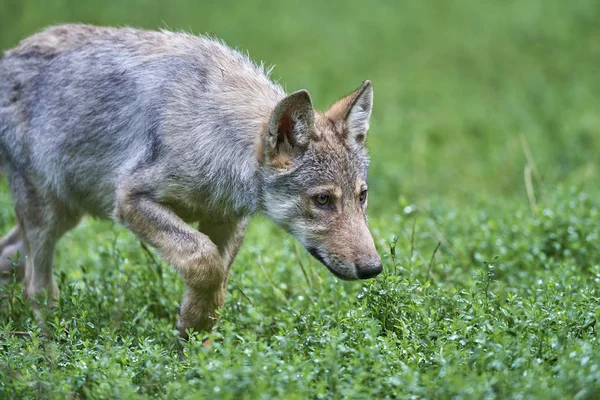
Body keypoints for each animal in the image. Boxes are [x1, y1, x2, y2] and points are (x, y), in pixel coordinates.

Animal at [0, 24, 382, 338]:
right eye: (322, 200)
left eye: (362, 196)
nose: (374, 268)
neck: (217, 136)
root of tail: (9, 56)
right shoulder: (129, 200)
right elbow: (203, 259)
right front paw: (191, 327)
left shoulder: (228, 221)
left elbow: (219, 278)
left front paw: (196, 338)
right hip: (48, 219)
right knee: (37, 286)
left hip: (66, 216)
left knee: (11, 257)